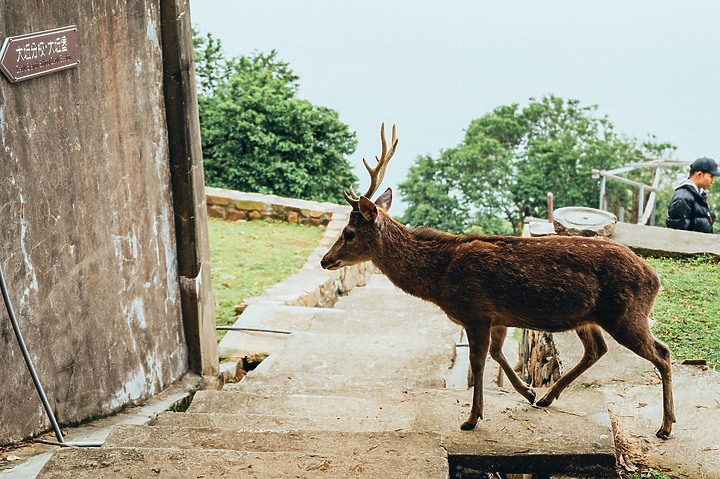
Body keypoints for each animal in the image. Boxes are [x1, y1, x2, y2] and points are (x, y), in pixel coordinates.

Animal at [320, 123, 676, 438]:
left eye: (349, 233)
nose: (325, 260)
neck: (440, 276)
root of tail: (655, 279)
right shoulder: (498, 316)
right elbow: (496, 353)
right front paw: (528, 391)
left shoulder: (475, 310)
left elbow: (479, 362)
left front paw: (472, 418)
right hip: (590, 317)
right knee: (597, 349)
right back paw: (548, 397)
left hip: (626, 313)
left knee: (662, 353)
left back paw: (666, 426)